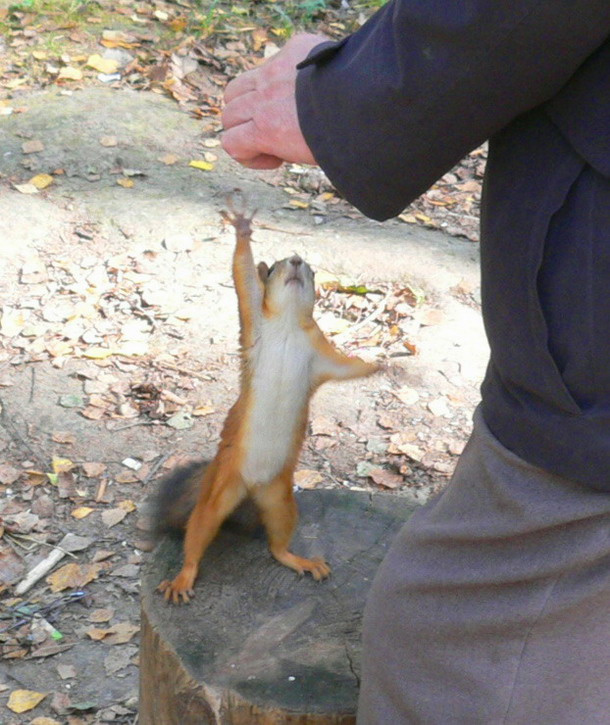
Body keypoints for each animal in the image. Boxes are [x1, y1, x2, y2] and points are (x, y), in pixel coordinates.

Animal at [156, 201, 379, 604]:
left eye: (311, 270)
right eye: (274, 267)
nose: (296, 260)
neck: (289, 322)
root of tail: (252, 488)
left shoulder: (322, 356)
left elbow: (350, 368)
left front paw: (388, 364)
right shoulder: (254, 317)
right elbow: (243, 273)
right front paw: (243, 227)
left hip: (280, 501)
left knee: (277, 544)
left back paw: (299, 560)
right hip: (219, 490)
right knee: (198, 533)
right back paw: (183, 578)